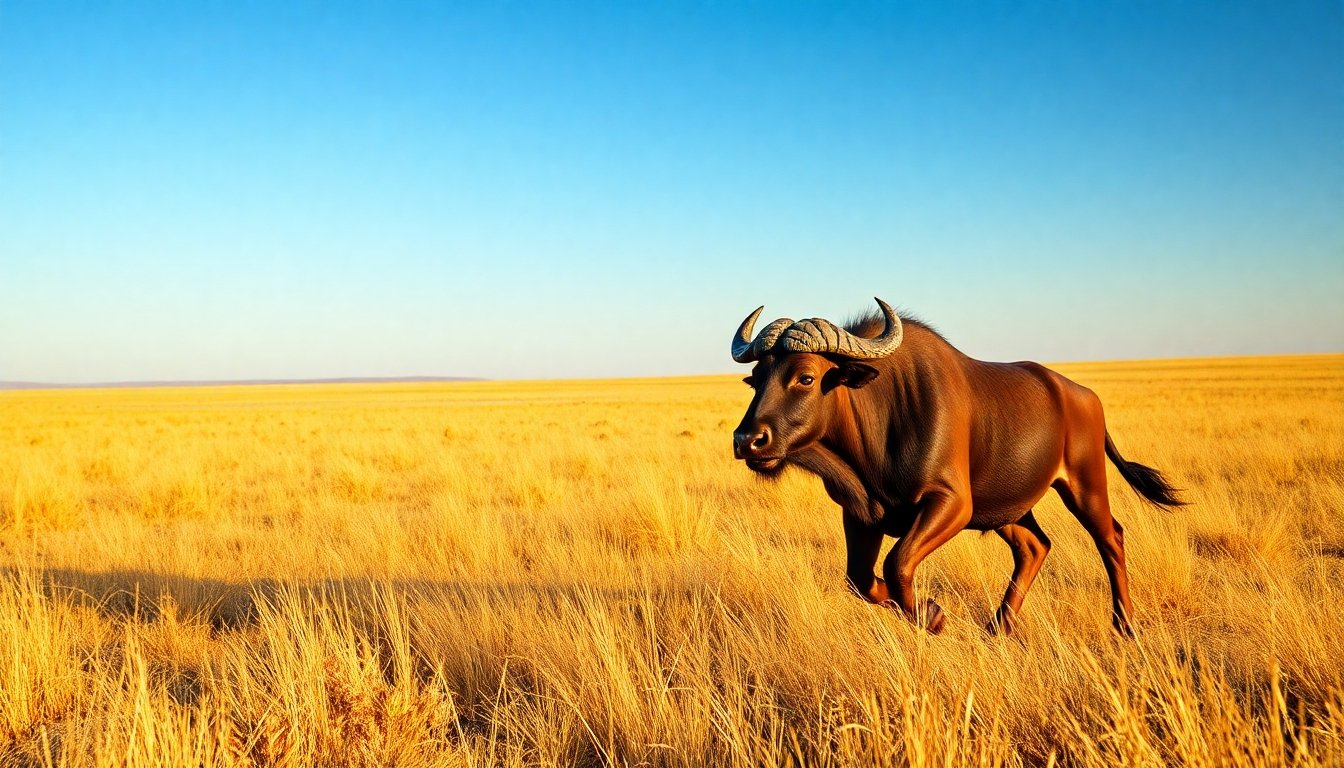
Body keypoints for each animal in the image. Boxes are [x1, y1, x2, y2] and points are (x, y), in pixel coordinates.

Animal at [730, 298, 1183, 636]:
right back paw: (998, 627)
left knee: (1111, 538)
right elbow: (859, 579)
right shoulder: (860, 514)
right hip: (1007, 509)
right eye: (756, 379)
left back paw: (1124, 626)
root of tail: (1084, 396)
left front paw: (931, 614)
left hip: (1084, 487)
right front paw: (924, 609)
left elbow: (897, 562)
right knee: (1034, 546)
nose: (747, 440)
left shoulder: (951, 504)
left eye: (805, 377)